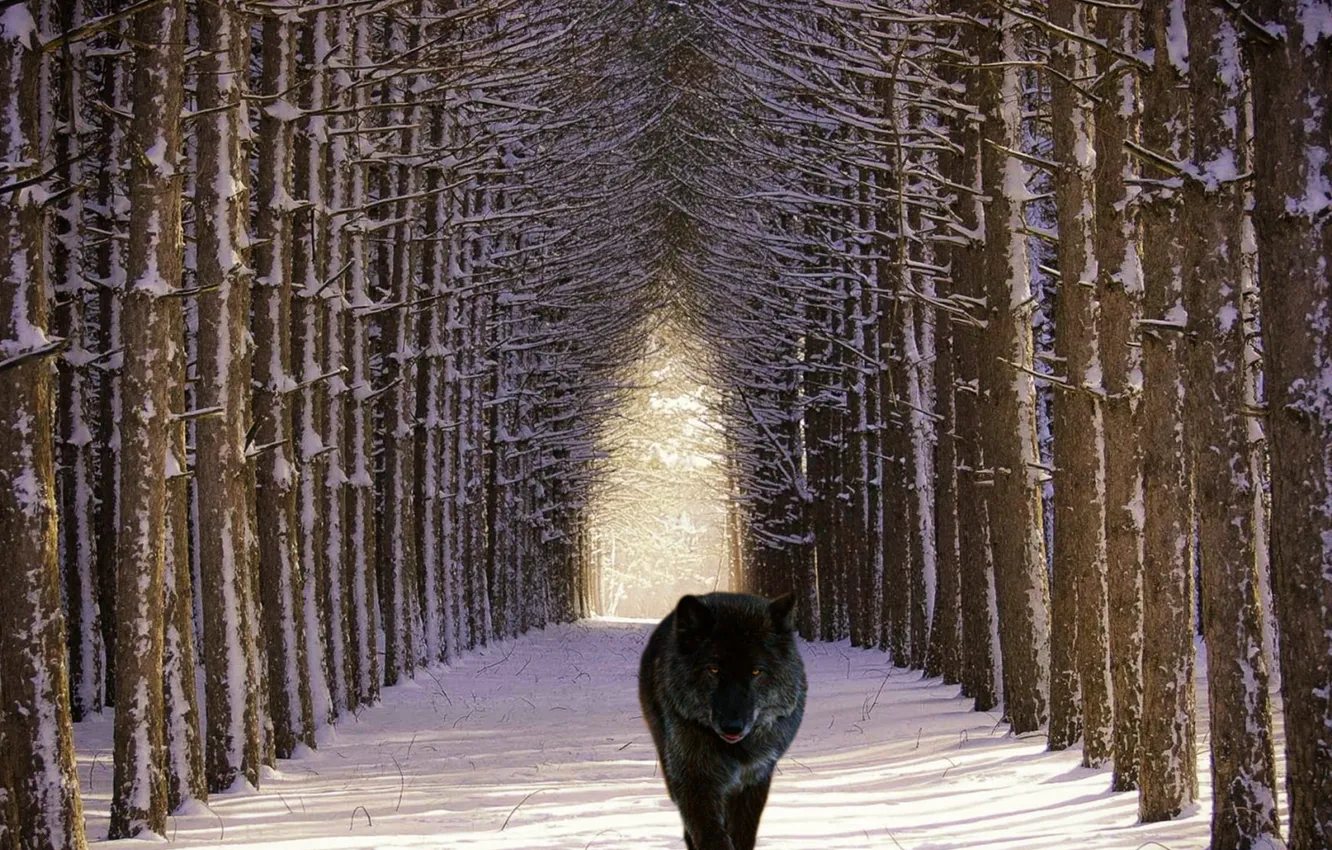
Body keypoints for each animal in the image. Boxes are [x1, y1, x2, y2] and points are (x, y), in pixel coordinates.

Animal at [638, 592, 807, 850]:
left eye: (756, 671)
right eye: (714, 670)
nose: (732, 727)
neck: (736, 751)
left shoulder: (754, 778)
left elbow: (742, 833)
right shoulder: (694, 778)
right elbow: (710, 833)